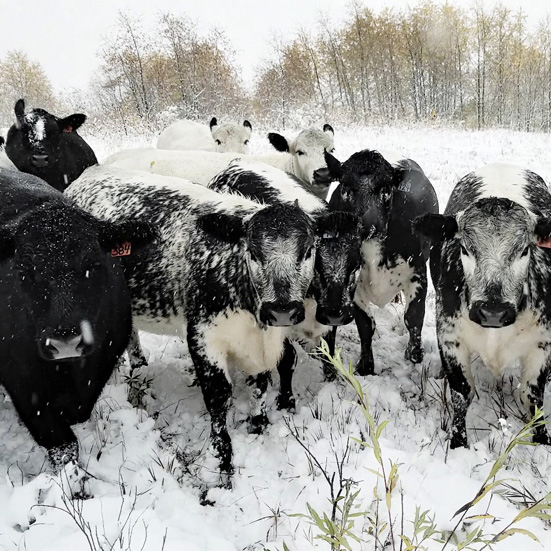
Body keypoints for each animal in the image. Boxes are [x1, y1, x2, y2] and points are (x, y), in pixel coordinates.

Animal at [66, 165, 320, 488]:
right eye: (252, 251)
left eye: (308, 249)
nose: (282, 310)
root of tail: (89, 172)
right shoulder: (203, 337)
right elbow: (219, 395)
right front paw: (224, 466)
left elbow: (262, 383)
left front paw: (258, 423)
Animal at [328, 150, 440, 376]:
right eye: (345, 187)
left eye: (386, 190)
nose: (365, 224)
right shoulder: (353, 282)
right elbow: (365, 325)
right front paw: (366, 366)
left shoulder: (417, 273)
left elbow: (413, 317)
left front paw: (414, 356)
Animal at [416, 163, 551, 448]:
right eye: (466, 248)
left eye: (524, 249)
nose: (493, 312)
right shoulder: (450, 337)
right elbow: (462, 391)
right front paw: (458, 442)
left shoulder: (542, 343)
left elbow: (532, 396)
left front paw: (542, 440)